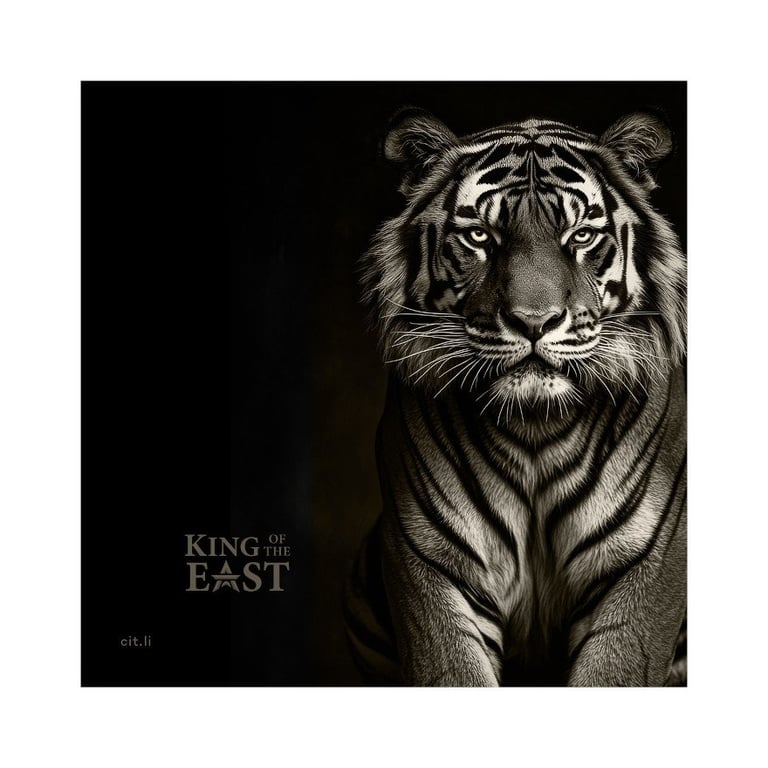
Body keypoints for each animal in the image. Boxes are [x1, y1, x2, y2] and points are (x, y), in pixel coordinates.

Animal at [343, 107, 687, 686]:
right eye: (481, 236)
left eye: (581, 234)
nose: (533, 321)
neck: (536, 424)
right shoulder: (430, 561)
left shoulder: (646, 563)